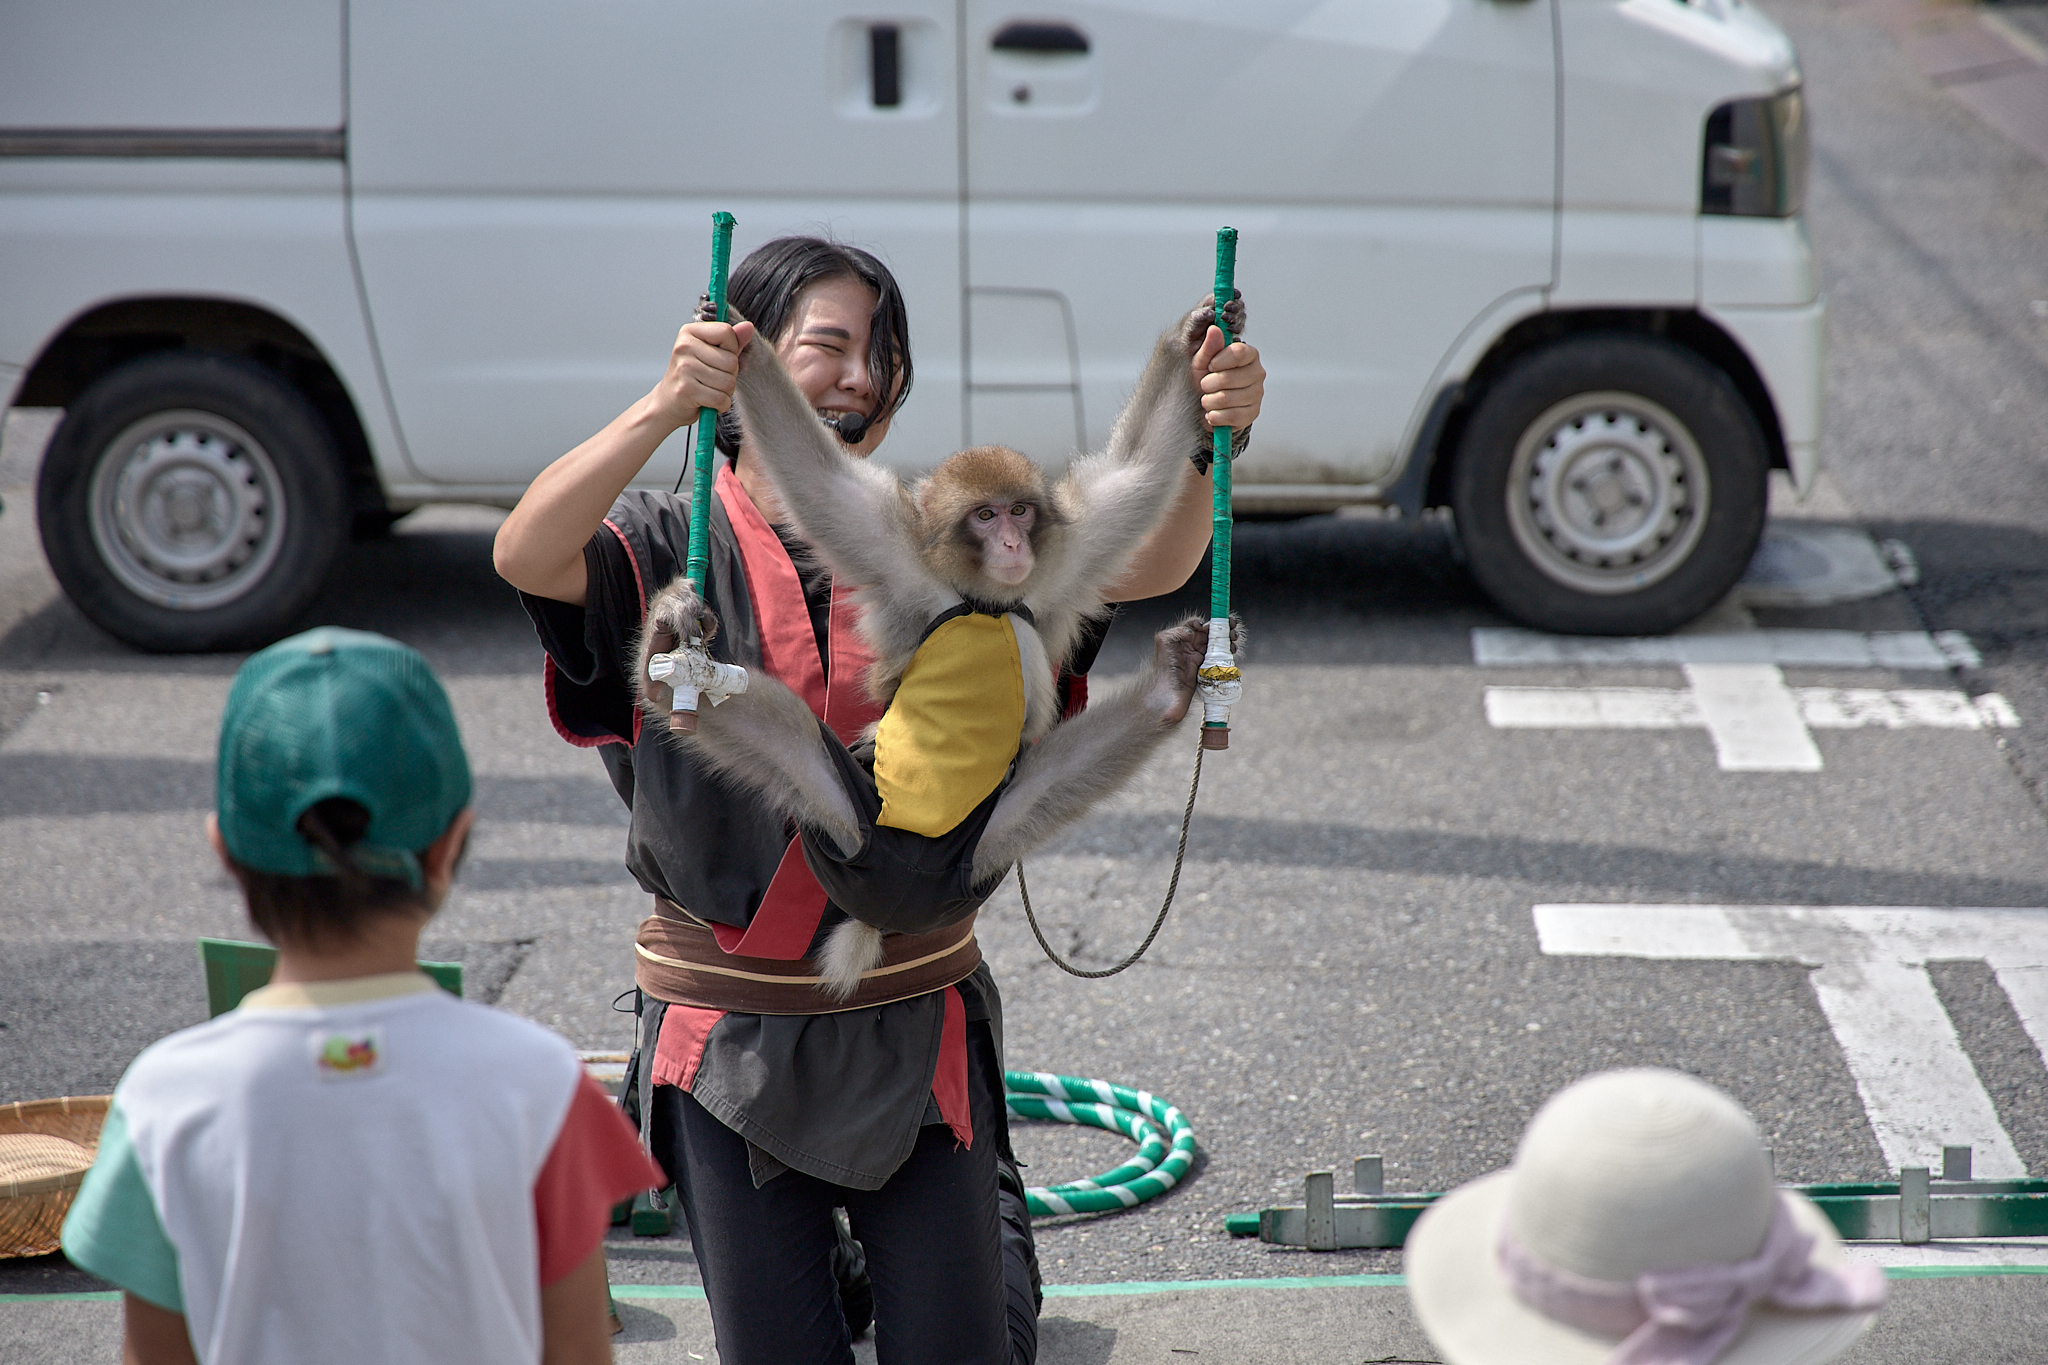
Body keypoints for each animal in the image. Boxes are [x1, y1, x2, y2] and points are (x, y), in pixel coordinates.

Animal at [638, 296, 1245, 994]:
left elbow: (1141, 468)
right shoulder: (902, 565)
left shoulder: (1058, 563)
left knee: (1048, 786)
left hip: (979, 855)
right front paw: (739, 342)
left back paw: (1168, 689)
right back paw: (660, 662)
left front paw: (1196, 338)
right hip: (846, 830)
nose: (1011, 544)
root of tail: (889, 908)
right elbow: (814, 476)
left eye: (1019, 511)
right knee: (789, 747)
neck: (981, 597)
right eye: (984, 516)